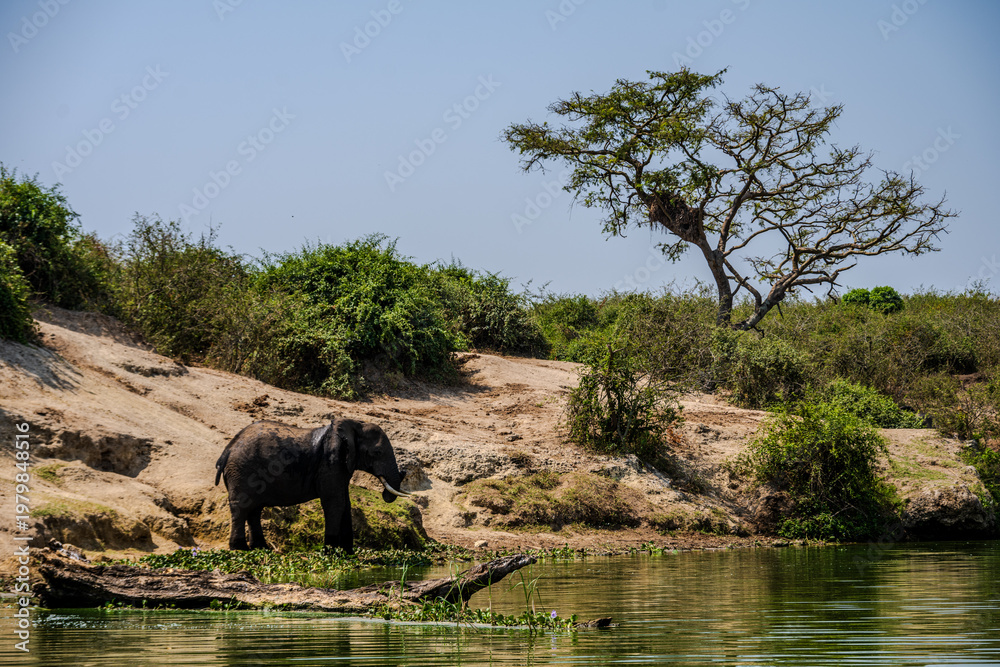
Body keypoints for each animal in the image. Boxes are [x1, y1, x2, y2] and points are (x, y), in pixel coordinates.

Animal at [214, 417, 410, 553]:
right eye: (377, 453)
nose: (404, 473)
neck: (355, 425)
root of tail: (227, 450)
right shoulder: (330, 462)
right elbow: (335, 503)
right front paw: (330, 552)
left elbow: (345, 504)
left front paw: (347, 553)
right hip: (242, 470)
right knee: (242, 507)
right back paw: (240, 548)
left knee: (254, 510)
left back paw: (261, 548)